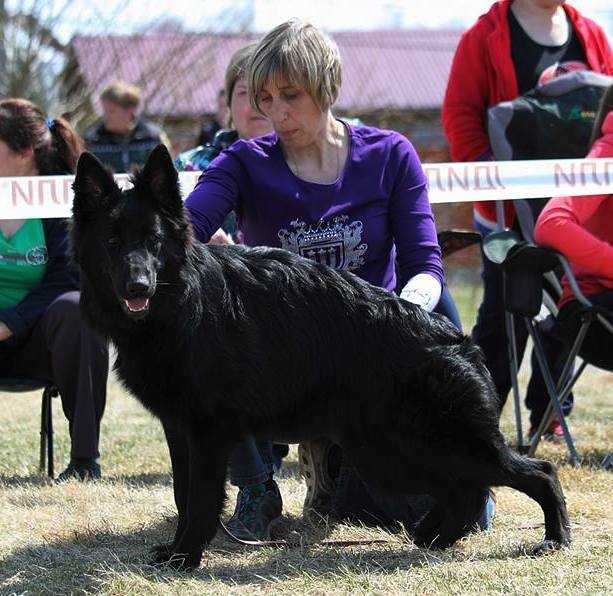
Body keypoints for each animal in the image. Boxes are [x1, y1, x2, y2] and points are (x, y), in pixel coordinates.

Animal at [70, 147, 568, 572]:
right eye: (112, 241)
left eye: (153, 240)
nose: (138, 287)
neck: (177, 302)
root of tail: (457, 340)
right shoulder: (181, 430)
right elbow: (182, 494)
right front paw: (176, 550)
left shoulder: (208, 434)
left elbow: (200, 500)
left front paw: (185, 556)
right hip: (390, 451)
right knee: (465, 491)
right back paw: (435, 538)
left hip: (418, 447)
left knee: (536, 473)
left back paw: (554, 538)